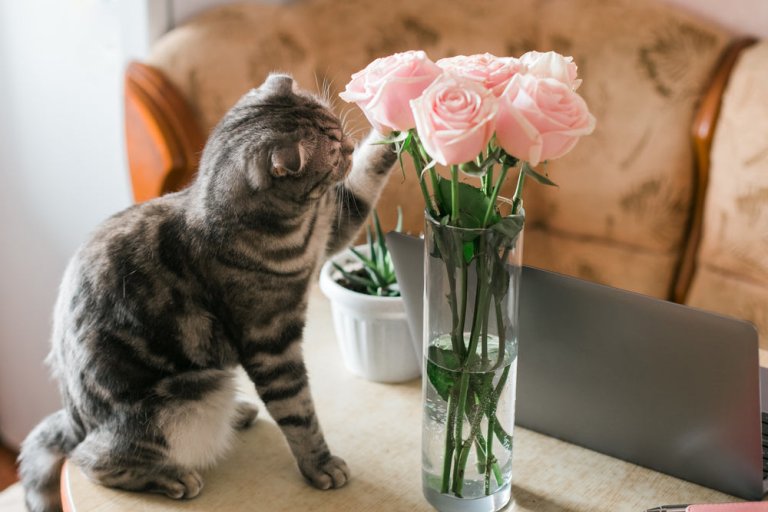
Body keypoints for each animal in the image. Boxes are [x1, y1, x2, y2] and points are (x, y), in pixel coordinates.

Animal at [18, 73, 396, 512]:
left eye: (336, 125)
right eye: (333, 149)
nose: (348, 144)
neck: (297, 228)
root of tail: (72, 417)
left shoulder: (332, 227)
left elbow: (370, 170)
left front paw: (397, 113)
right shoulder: (271, 344)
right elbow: (298, 413)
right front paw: (319, 464)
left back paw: (240, 414)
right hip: (188, 398)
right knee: (92, 459)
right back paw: (171, 476)